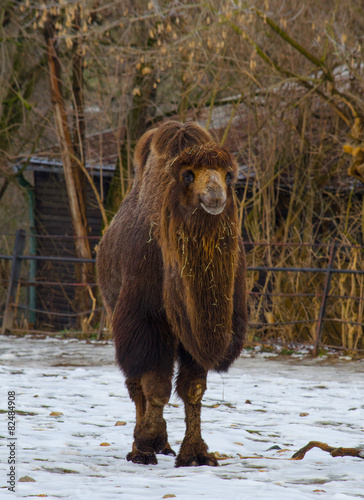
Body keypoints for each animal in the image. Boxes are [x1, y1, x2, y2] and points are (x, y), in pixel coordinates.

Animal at [96, 119, 247, 466]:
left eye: (229, 176)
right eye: (188, 175)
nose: (215, 195)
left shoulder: (196, 334)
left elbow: (193, 389)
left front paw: (195, 454)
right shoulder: (146, 320)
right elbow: (155, 385)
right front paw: (145, 444)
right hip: (115, 309)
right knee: (135, 384)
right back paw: (148, 443)